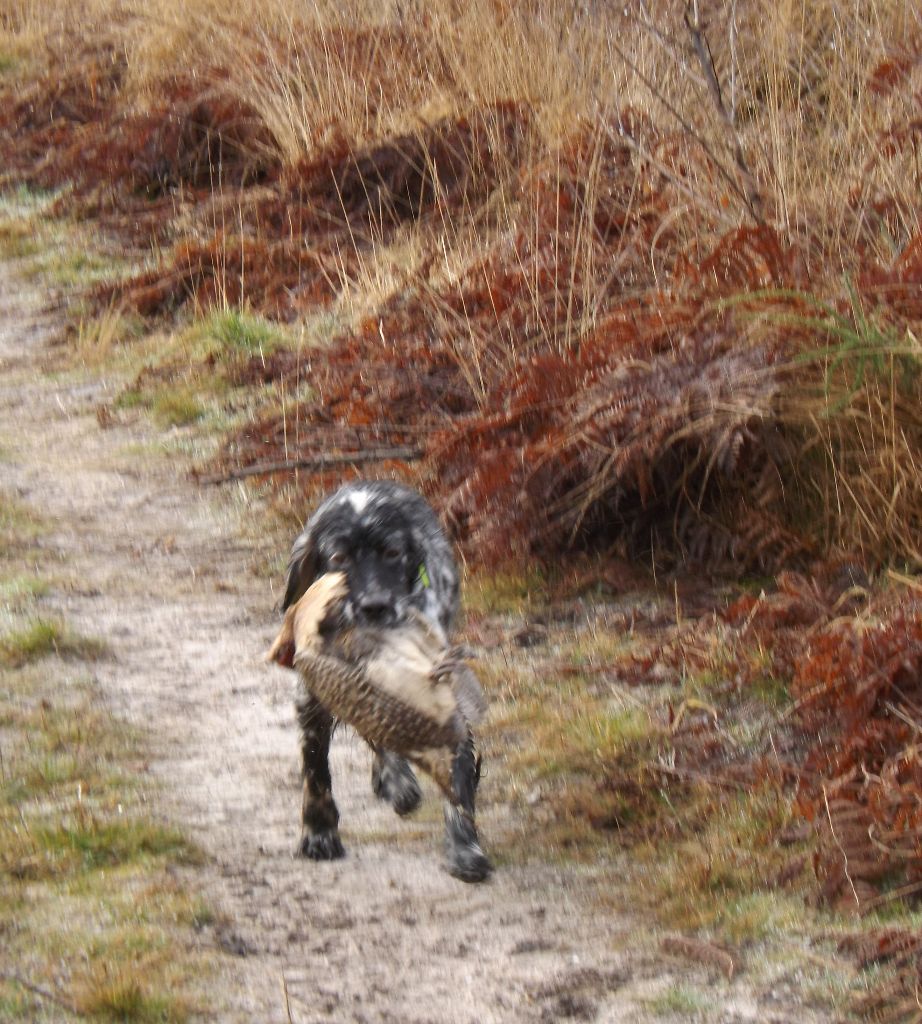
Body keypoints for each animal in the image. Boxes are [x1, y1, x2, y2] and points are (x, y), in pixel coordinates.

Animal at [280, 479, 493, 880]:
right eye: (339, 558)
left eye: (393, 551)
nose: (375, 606)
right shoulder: (312, 698)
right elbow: (316, 769)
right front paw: (318, 833)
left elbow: (456, 776)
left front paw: (465, 848)